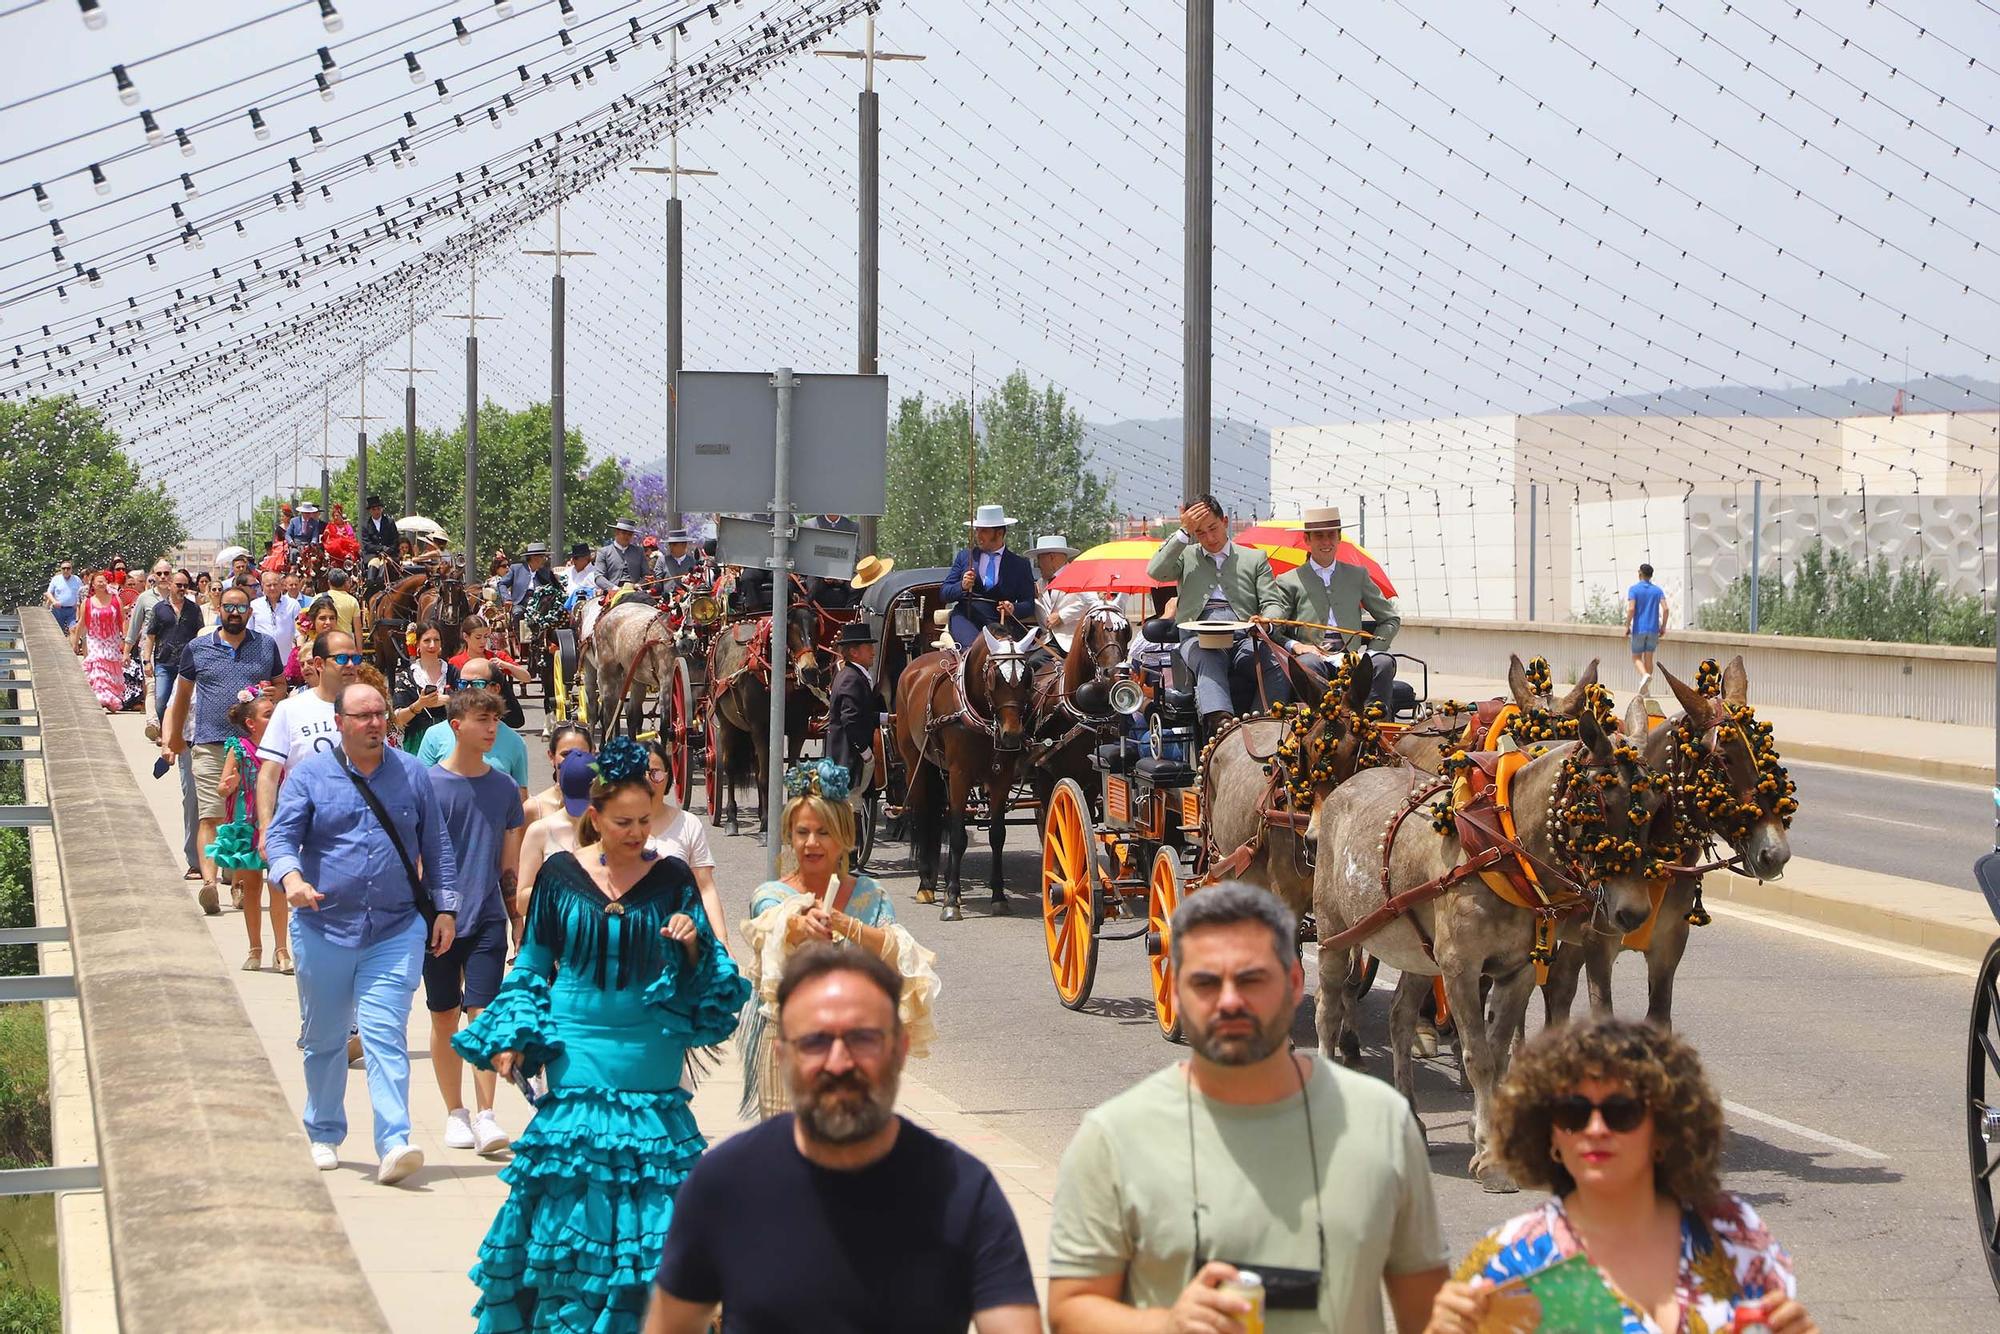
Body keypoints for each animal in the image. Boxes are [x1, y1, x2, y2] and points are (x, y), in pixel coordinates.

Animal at [896, 632, 1048, 924]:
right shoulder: (960, 775)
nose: (1012, 734)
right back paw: (926, 884)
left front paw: (999, 897)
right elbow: (957, 836)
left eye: (1027, 678)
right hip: (915, 766)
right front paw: (951, 901)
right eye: (993, 677)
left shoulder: (1001, 778)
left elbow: (997, 835)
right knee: (922, 817)